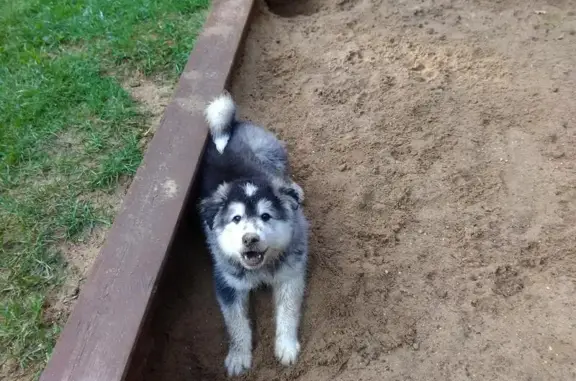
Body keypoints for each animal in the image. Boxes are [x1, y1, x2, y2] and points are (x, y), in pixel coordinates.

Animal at [197, 92, 308, 374]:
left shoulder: (291, 274)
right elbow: (236, 323)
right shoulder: (227, 283)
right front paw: (238, 357)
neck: (262, 269)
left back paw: (295, 191)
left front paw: (286, 347)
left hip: (269, 152)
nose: (250, 239)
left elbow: (288, 312)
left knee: (283, 177)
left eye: (265, 216)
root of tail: (233, 125)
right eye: (236, 219)